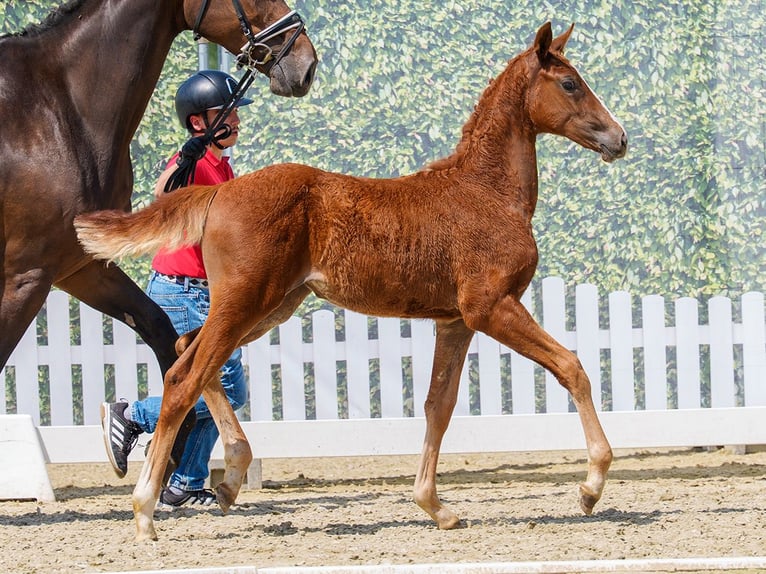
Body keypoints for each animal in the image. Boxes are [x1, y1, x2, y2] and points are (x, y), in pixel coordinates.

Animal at [0, 0, 316, 466]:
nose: (306, 64)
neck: (55, 111)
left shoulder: (79, 267)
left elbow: (161, 330)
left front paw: (171, 449)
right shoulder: (26, 275)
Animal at [75, 21, 627, 541]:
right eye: (570, 83)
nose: (619, 138)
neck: (485, 191)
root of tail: (219, 194)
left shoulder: (455, 321)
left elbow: (439, 405)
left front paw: (436, 507)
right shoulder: (491, 306)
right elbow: (572, 367)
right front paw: (590, 487)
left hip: (270, 305)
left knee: (187, 351)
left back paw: (230, 478)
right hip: (246, 302)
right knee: (183, 378)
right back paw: (146, 511)